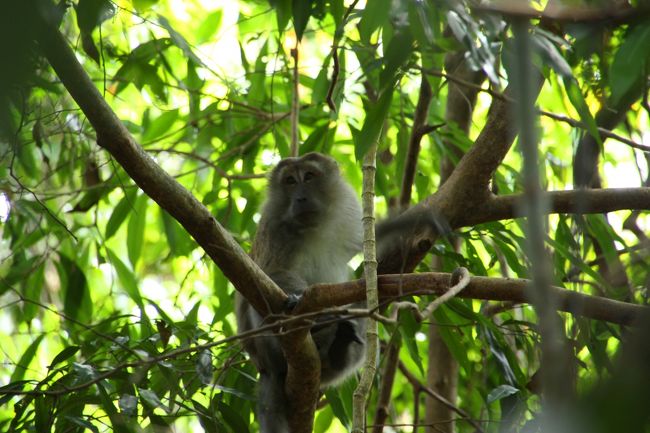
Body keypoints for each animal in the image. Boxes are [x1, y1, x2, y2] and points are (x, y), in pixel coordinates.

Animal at [235, 152, 366, 433]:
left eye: (308, 177)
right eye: (290, 181)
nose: (300, 198)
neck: (312, 229)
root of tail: (264, 368)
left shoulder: (348, 221)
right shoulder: (275, 230)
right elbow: (268, 275)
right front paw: (301, 304)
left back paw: (337, 351)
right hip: (267, 349)